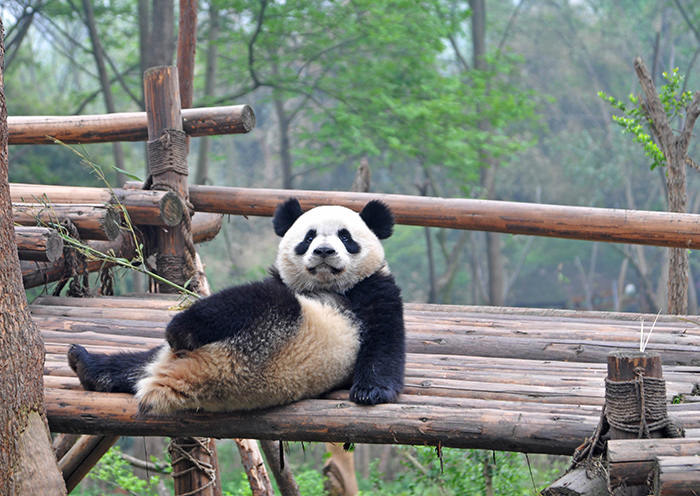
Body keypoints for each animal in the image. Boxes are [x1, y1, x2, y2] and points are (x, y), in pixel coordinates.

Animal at [67, 198, 405, 414]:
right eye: (308, 238)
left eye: (345, 237)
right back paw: (85, 363)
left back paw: (180, 330)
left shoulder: (372, 290)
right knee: (135, 363)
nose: (323, 251)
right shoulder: (287, 282)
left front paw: (370, 391)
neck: (324, 286)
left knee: (245, 302)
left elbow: (384, 340)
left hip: (269, 334)